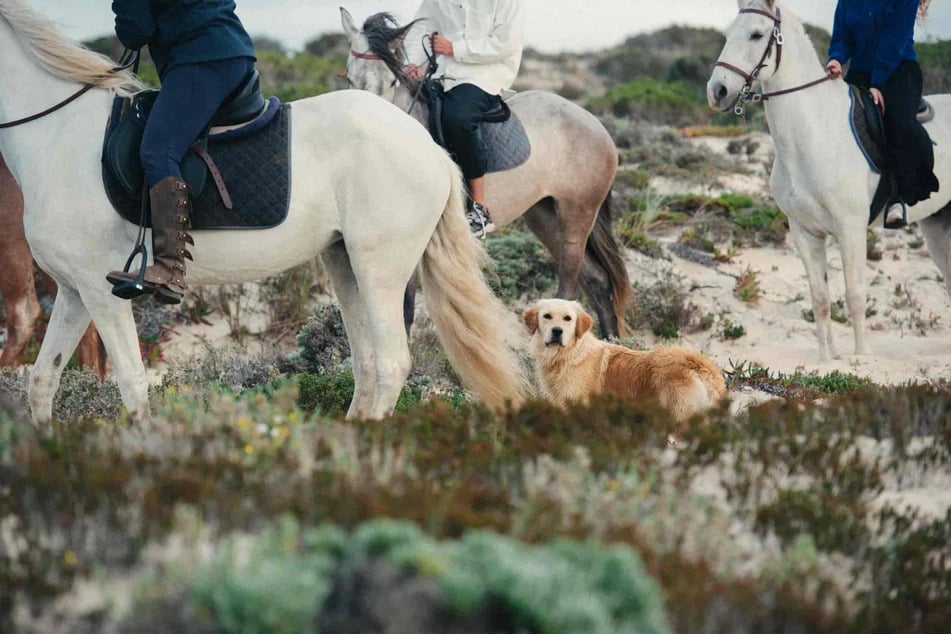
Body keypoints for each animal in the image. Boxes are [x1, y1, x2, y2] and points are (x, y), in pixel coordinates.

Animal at [0, 1, 528, 424]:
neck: (59, 133)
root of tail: (430, 146)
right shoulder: (75, 291)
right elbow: (42, 383)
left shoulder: (103, 293)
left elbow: (132, 385)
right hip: (345, 264)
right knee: (367, 364)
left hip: (381, 269)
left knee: (393, 363)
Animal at [342, 8, 632, 336]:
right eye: (350, 77)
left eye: (392, 83)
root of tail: (595, 123)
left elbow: (403, 310)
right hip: (544, 216)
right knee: (597, 280)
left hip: (577, 215)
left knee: (569, 286)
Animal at [708, 0, 951, 360]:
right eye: (727, 35)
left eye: (756, 34)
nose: (718, 91)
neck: (813, 132)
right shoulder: (805, 232)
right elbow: (820, 299)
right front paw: (826, 360)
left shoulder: (850, 229)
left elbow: (855, 295)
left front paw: (861, 358)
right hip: (937, 226)